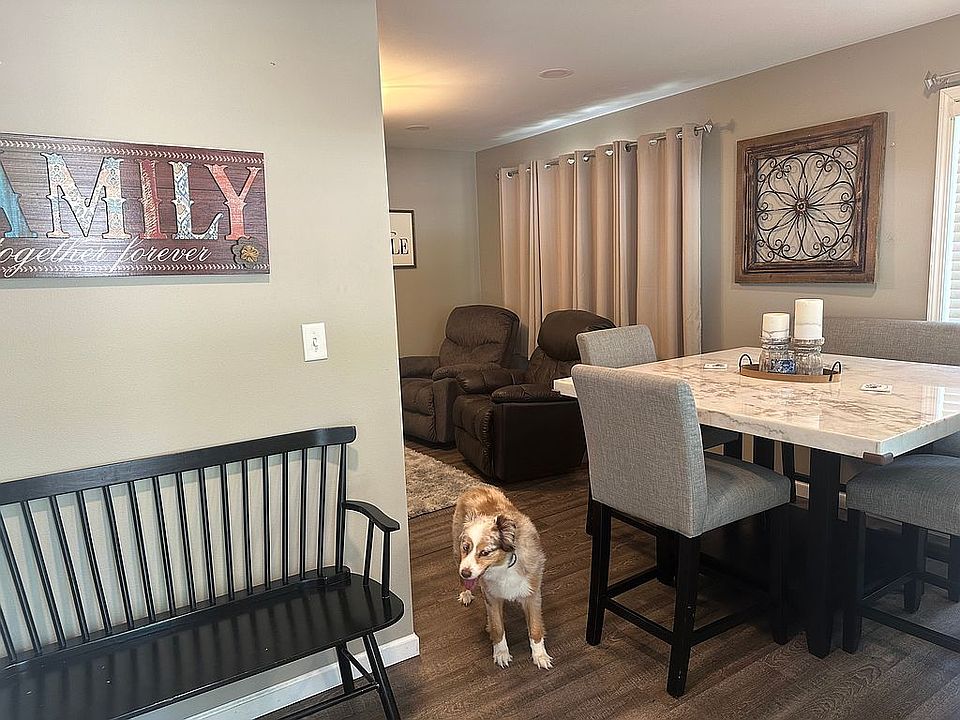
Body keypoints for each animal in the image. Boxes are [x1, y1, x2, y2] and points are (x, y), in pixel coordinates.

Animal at [452, 484, 553, 670]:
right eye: (466, 547)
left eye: (485, 552)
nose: (465, 573)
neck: (504, 566)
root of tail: (476, 487)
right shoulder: (491, 596)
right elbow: (498, 627)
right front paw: (501, 654)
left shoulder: (532, 594)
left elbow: (535, 628)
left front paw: (540, 656)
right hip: (456, 553)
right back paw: (466, 594)